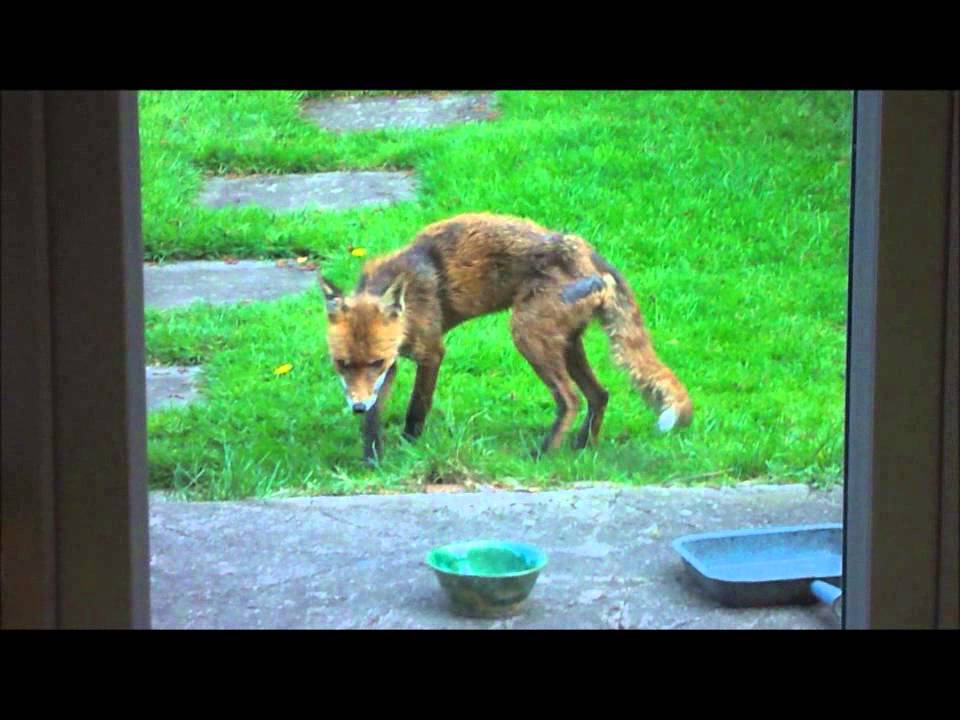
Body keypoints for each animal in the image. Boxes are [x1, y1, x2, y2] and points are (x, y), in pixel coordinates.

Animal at [319, 213, 693, 464]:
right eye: (343, 364)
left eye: (375, 361)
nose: (356, 406)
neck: (409, 302)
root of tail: (583, 249)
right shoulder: (393, 364)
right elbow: (374, 419)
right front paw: (372, 459)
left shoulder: (429, 353)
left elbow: (417, 408)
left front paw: (410, 446)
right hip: (566, 343)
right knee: (599, 394)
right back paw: (583, 447)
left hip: (527, 335)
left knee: (570, 399)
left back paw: (542, 453)